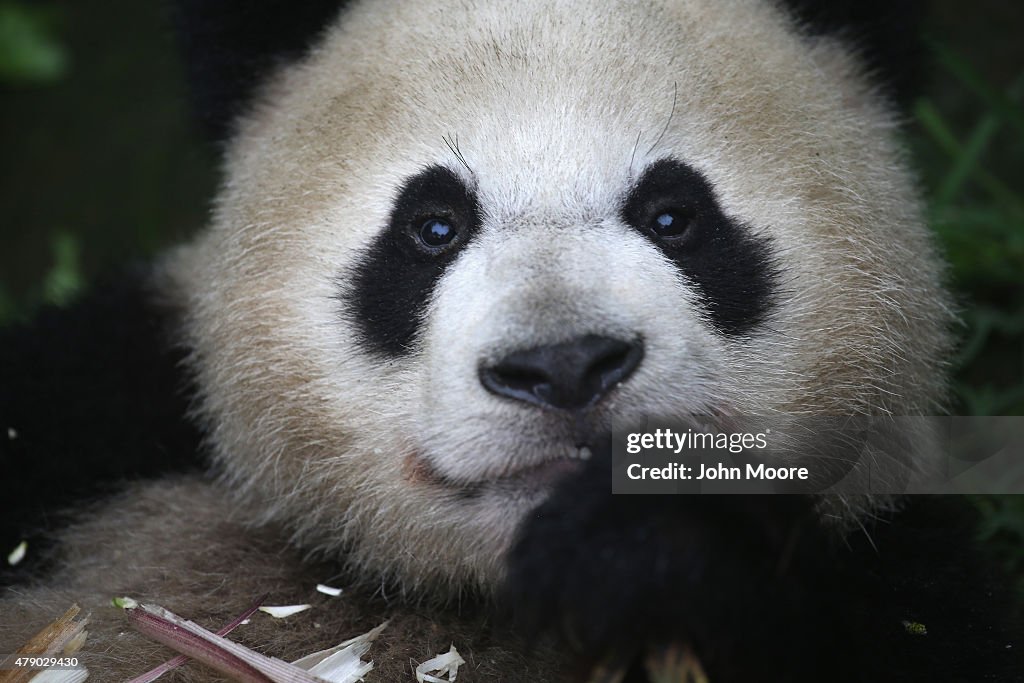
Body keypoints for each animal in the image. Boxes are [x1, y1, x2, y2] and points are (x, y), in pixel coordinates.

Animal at [2, 0, 1024, 679]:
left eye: (675, 215)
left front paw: (643, 549)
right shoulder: (113, 391)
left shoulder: (899, 571)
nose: (564, 365)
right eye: (432, 226)